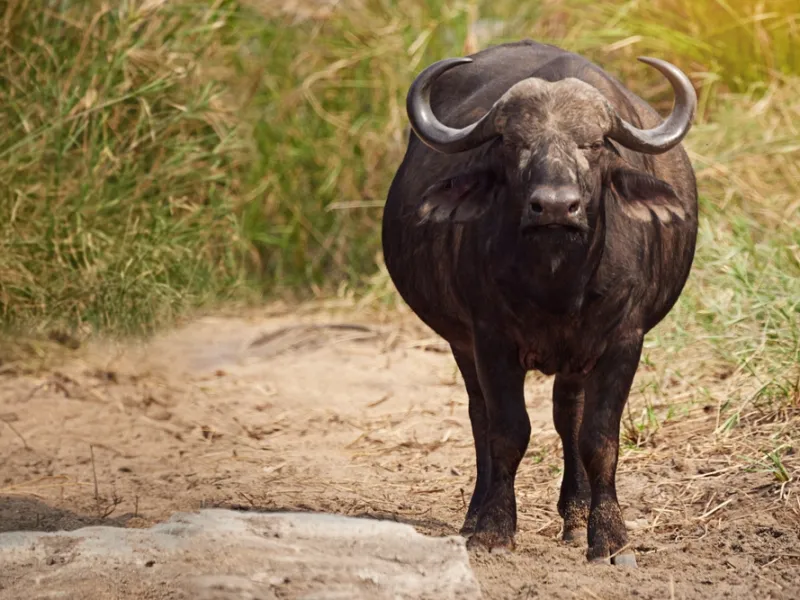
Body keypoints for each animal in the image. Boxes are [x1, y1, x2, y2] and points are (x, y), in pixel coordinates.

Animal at [381, 40, 698, 566]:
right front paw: (493, 529)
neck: (557, 282)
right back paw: (475, 514)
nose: (554, 206)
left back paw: (574, 516)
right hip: (462, 344)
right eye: (513, 144)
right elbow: (508, 431)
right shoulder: (489, 339)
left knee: (568, 414)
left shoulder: (623, 340)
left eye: (593, 144)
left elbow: (599, 438)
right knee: (480, 417)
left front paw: (609, 538)